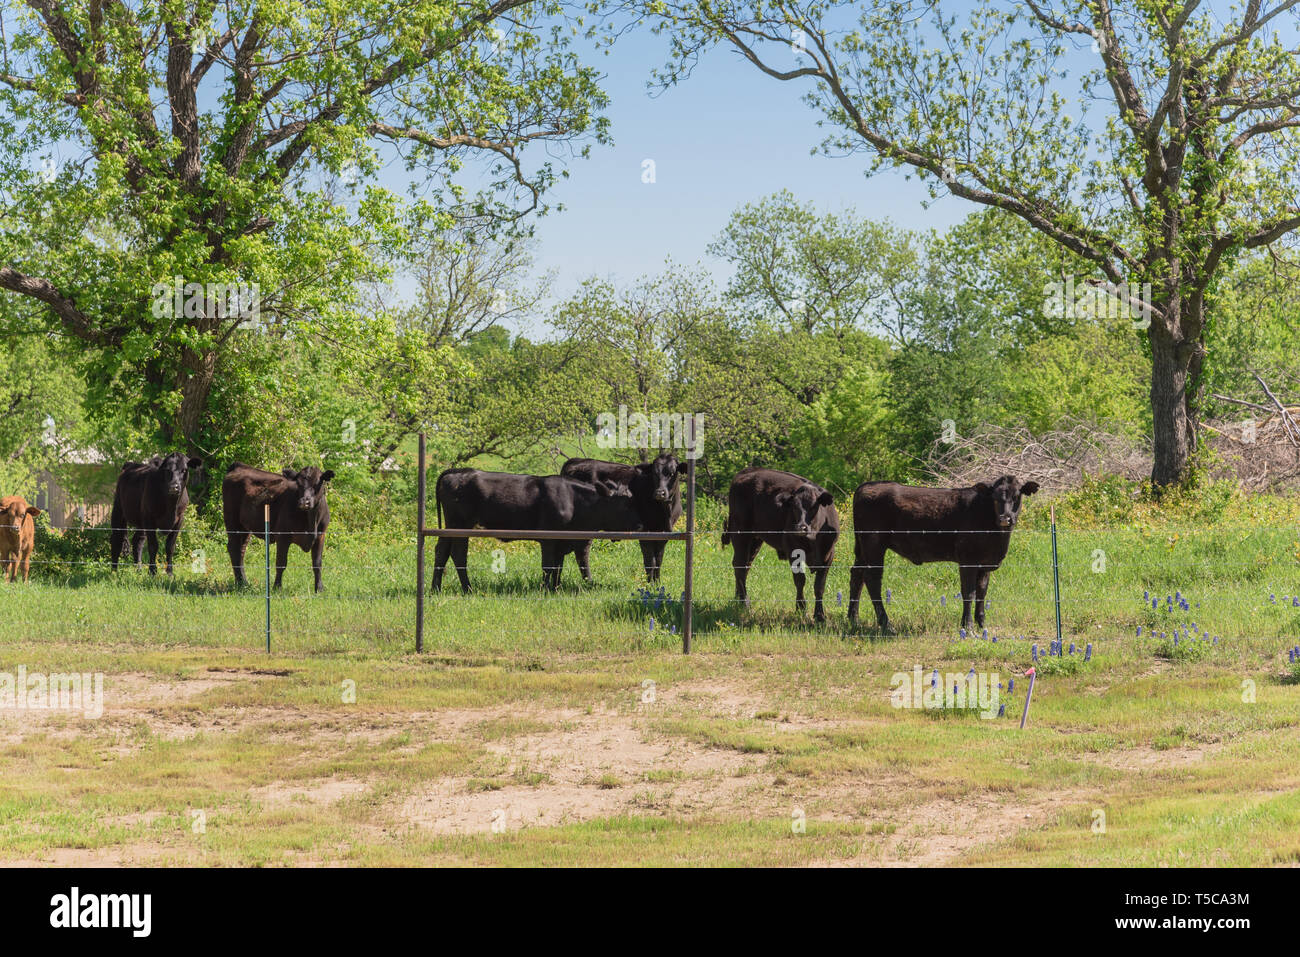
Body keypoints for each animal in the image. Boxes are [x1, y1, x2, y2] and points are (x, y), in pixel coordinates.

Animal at [222, 464, 334, 592]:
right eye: (298, 484)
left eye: (317, 483)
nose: (303, 502)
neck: (311, 521)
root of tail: (239, 466)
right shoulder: (283, 536)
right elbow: (281, 563)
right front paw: (277, 587)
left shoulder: (321, 536)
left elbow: (317, 563)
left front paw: (319, 588)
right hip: (232, 521)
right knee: (234, 548)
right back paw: (240, 582)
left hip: (245, 527)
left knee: (241, 550)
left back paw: (244, 582)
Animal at [432, 469, 642, 592]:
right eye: (625, 504)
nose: (640, 524)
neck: (574, 500)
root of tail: (457, 472)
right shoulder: (549, 538)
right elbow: (549, 566)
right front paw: (545, 589)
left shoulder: (564, 542)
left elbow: (561, 566)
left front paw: (557, 588)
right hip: (460, 524)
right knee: (459, 554)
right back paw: (468, 588)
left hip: (451, 526)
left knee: (442, 551)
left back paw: (436, 588)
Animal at [560, 454, 687, 582]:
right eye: (654, 474)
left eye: (672, 473)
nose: (659, 493)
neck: (666, 513)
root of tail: (576, 461)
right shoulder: (645, 533)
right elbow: (650, 562)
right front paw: (649, 584)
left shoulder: (664, 533)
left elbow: (659, 561)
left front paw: (657, 583)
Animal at [722, 468, 839, 623]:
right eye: (794, 507)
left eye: (814, 506)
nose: (801, 527)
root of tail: (747, 471)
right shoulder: (793, 550)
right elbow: (800, 580)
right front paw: (800, 608)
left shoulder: (828, 555)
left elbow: (819, 586)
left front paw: (820, 615)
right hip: (740, 533)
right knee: (740, 565)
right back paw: (745, 602)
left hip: (755, 539)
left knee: (745, 565)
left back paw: (738, 598)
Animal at [847, 476, 1040, 633]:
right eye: (995, 497)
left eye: (1017, 496)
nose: (1004, 518)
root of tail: (867, 485)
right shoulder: (967, 560)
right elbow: (969, 593)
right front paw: (968, 627)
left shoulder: (985, 563)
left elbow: (982, 592)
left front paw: (981, 624)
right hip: (874, 545)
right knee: (872, 580)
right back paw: (886, 625)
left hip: (862, 549)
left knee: (857, 575)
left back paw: (853, 619)